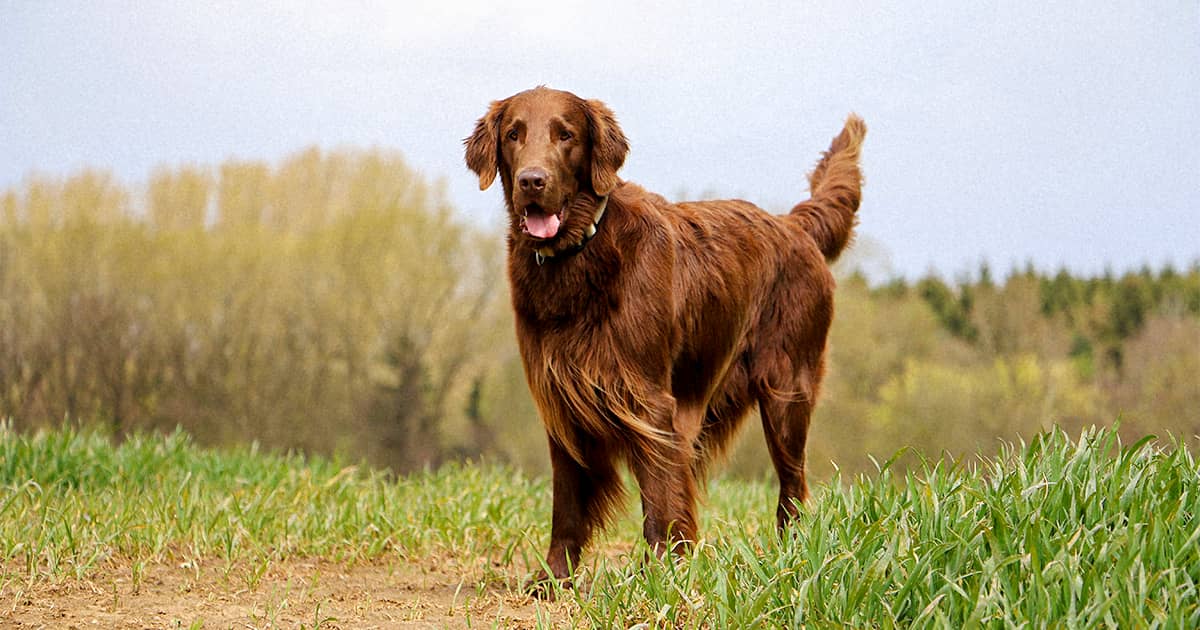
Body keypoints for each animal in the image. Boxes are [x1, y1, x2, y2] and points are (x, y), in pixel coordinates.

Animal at [463, 85, 868, 588]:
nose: (532, 181)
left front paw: (661, 575)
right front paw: (554, 579)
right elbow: (568, 504)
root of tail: (795, 225)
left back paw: (790, 555)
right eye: (514, 134)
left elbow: (659, 497)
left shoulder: (648, 399)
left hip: (787, 389)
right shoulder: (561, 400)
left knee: (792, 483)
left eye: (566, 134)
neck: (582, 254)